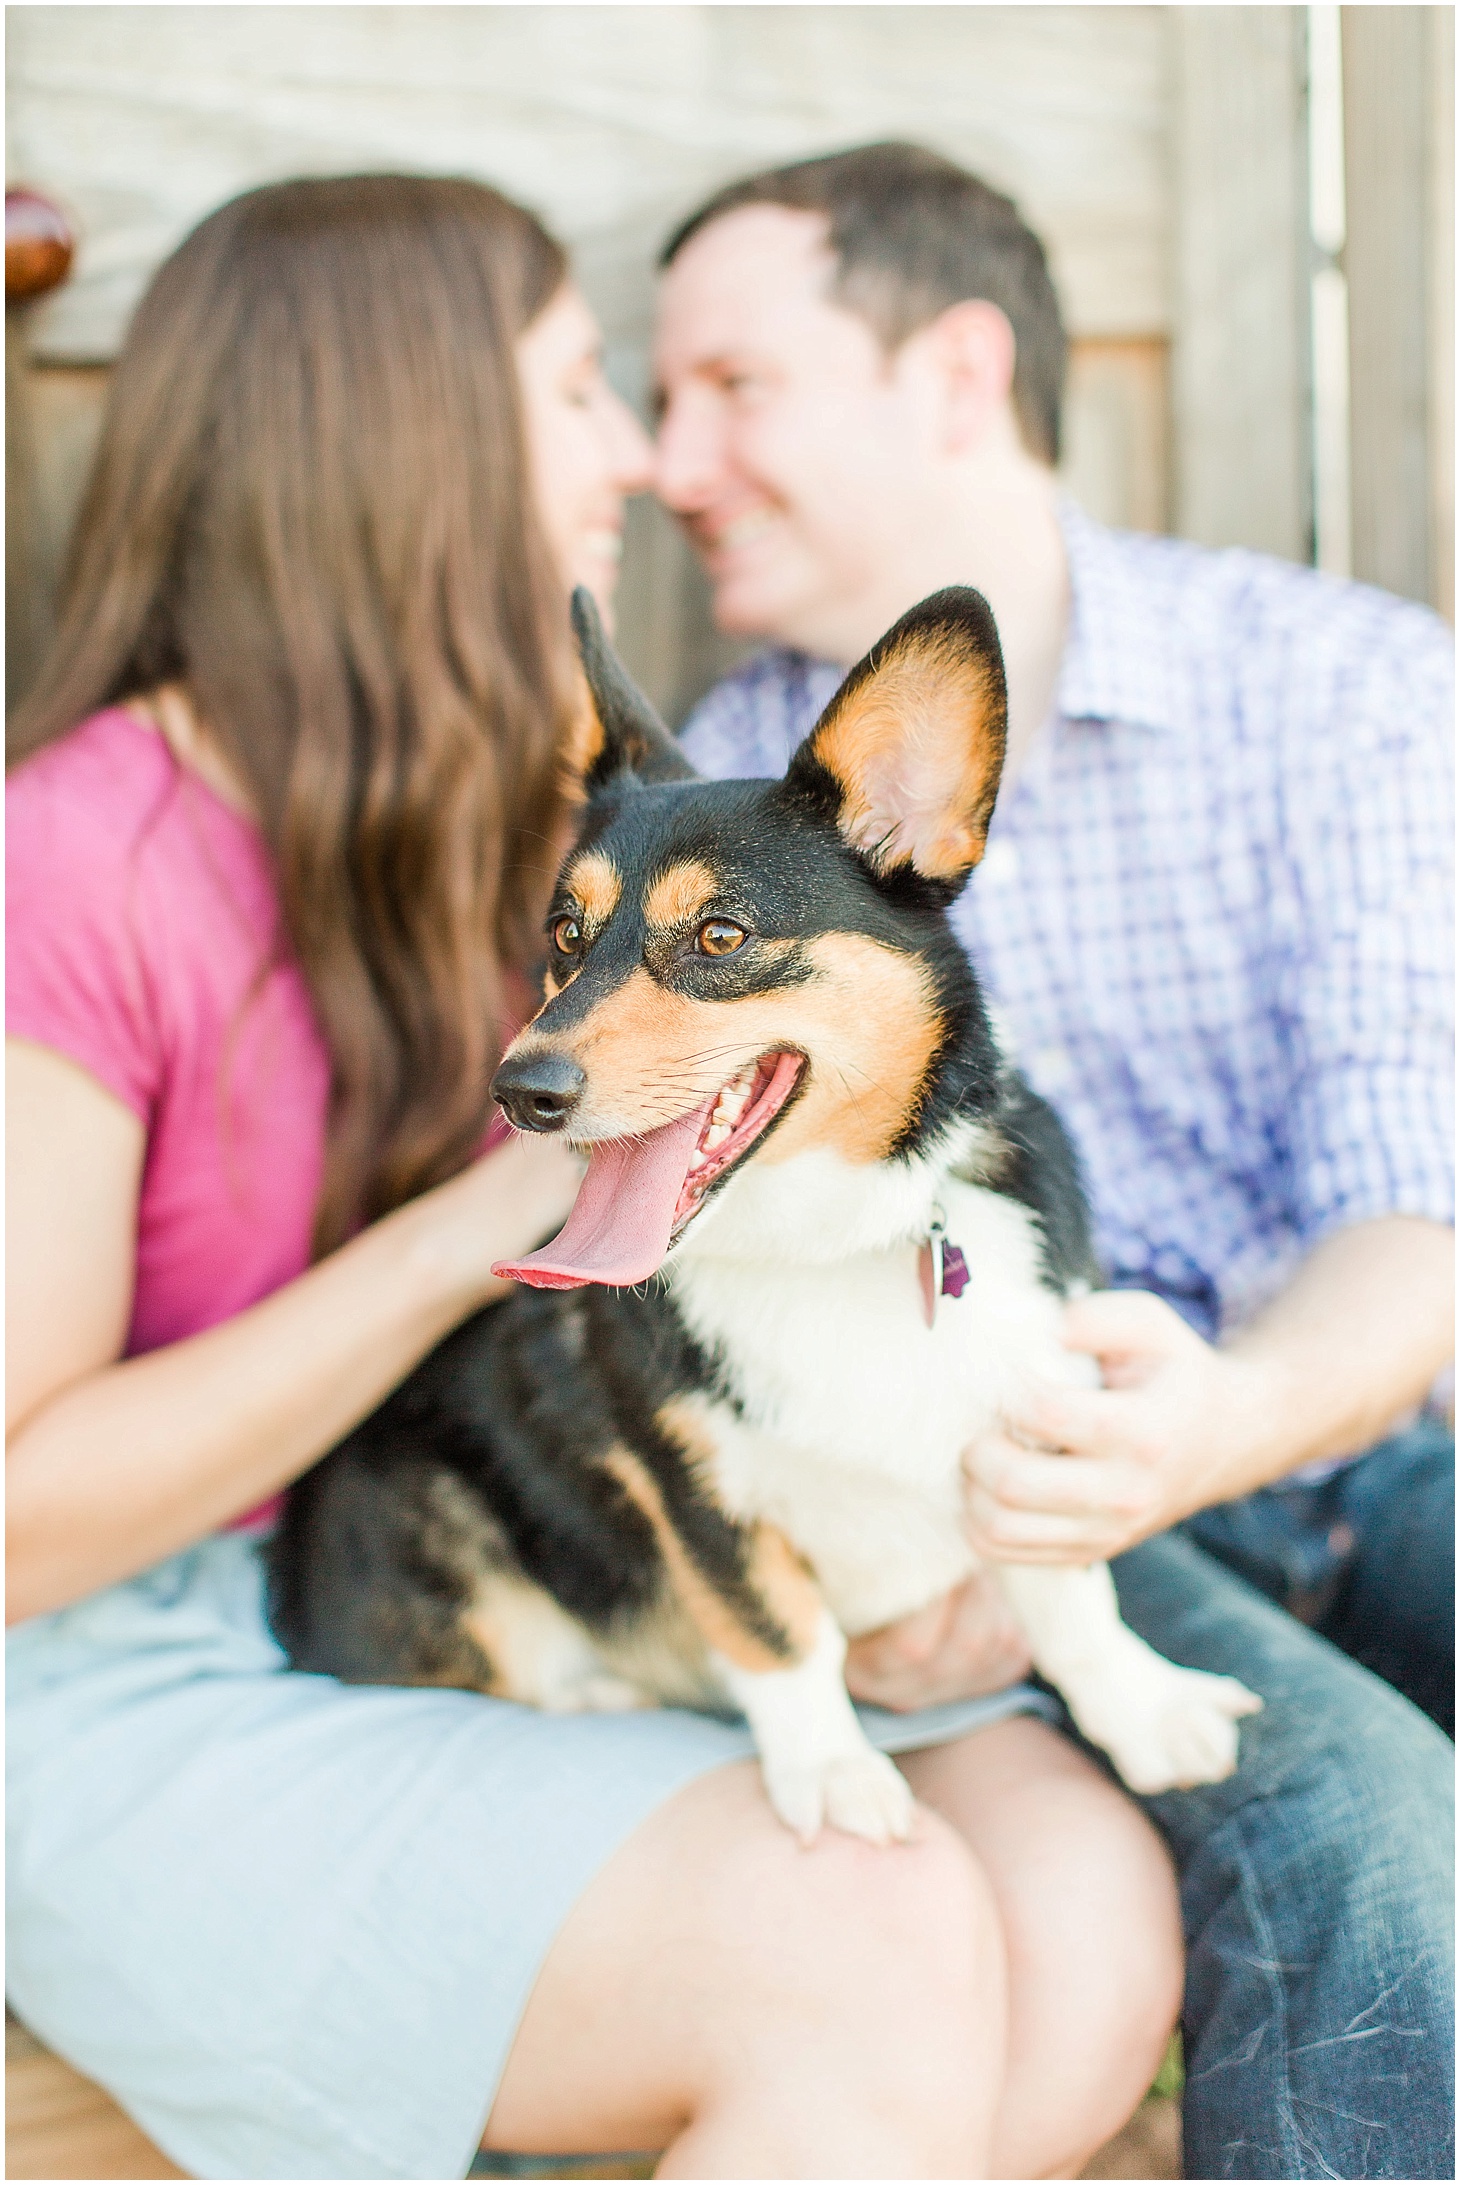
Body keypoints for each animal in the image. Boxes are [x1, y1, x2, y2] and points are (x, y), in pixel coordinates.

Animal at [267, 585, 1258, 1844]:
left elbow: (1068, 1592)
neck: (825, 1242)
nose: (518, 1092)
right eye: (564, 935)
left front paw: (1143, 1709)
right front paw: (831, 1775)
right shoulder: (684, 1482)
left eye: (721, 936)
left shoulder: (1035, 1434)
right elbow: (779, 1634)